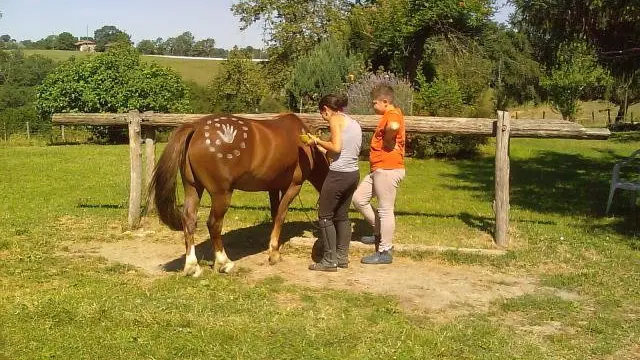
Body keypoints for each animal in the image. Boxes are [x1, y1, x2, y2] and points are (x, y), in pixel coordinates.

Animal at [151, 113, 330, 276]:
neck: (306, 146)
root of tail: (197, 127)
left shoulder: (273, 187)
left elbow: (274, 214)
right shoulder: (293, 186)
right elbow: (281, 216)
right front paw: (274, 254)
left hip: (193, 187)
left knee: (188, 219)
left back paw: (192, 267)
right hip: (221, 194)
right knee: (213, 224)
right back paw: (224, 263)